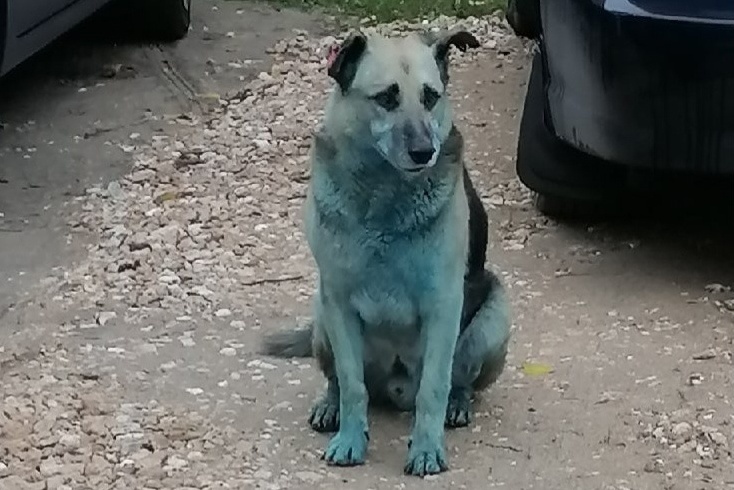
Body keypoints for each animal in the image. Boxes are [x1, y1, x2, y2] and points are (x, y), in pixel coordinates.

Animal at [264, 28, 512, 476]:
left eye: (431, 97)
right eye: (385, 98)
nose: (424, 152)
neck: (384, 196)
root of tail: (396, 390)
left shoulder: (443, 304)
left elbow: (433, 388)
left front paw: (427, 448)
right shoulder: (338, 302)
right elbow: (351, 385)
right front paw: (350, 437)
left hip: (494, 319)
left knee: (458, 380)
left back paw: (458, 403)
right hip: (321, 319)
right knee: (339, 380)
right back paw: (330, 407)